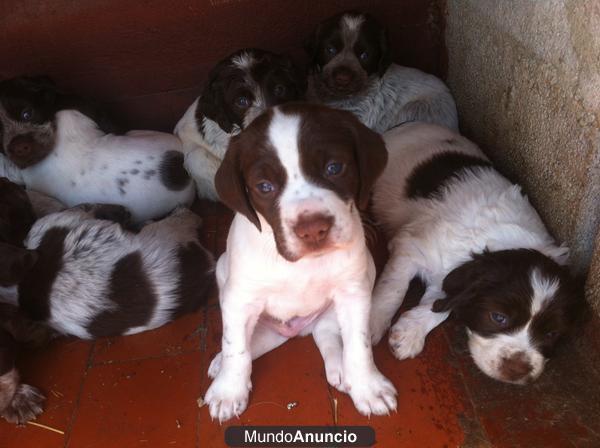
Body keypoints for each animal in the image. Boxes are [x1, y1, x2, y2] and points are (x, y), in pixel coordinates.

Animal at [204, 102, 396, 424]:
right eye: (264, 186)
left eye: (334, 168)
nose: (313, 229)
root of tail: (297, 330)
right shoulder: (239, 299)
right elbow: (235, 349)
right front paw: (229, 391)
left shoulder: (353, 293)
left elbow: (359, 345)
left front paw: (367, 386)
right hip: (224, 273)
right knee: (248, 343)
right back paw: (220, 365)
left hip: (361, 276)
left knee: (329, 334)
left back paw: (341, 369)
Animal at [368, 123, 584, 384]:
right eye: (498, 317)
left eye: (552, 333)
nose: (517, 370)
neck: (500, 244)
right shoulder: (411, 247)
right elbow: (393, 288)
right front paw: (371, 322)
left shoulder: (449, 276)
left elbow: (443, 305)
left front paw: (411, 332)